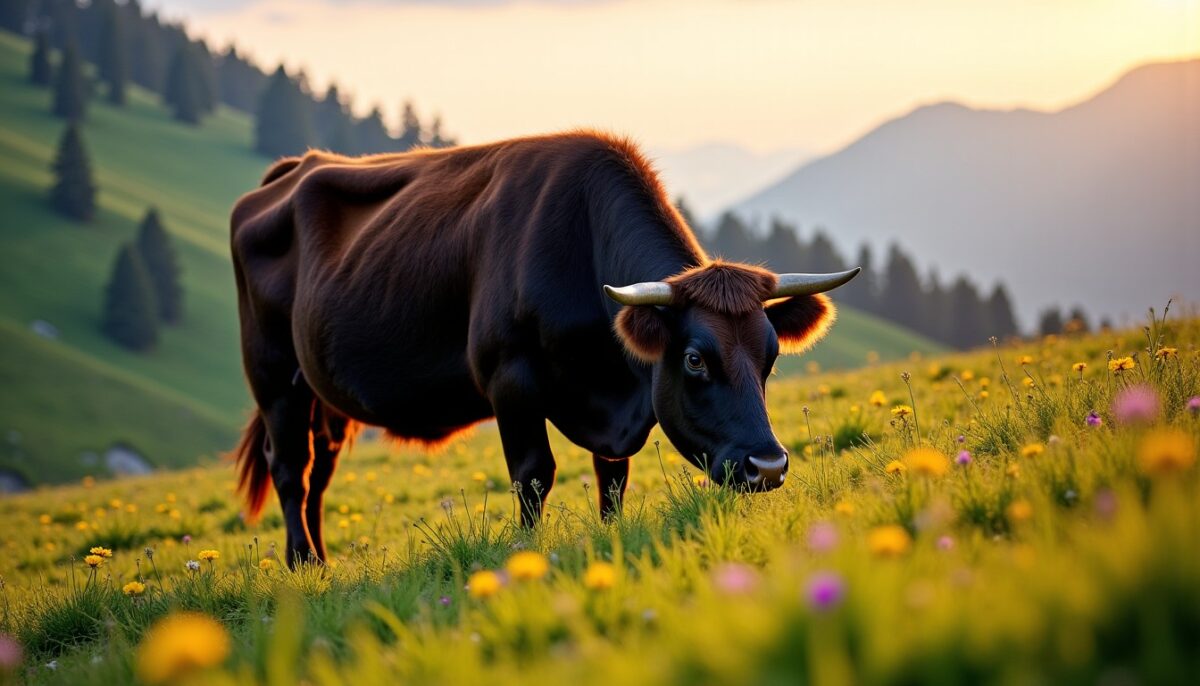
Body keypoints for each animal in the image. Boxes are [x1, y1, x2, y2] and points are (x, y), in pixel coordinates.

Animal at [229, 131, 858, 566]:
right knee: (290, 468)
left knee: (320, 471)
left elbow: (613, 476)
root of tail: (297, 167)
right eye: (695, 358)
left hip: (322, 393)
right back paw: (303, 564)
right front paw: (526, 553)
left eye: (770, 357)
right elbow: (533, 475)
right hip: (272, 377)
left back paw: (320, 557)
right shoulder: (509, 379)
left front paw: (610, 532)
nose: (768, 465)